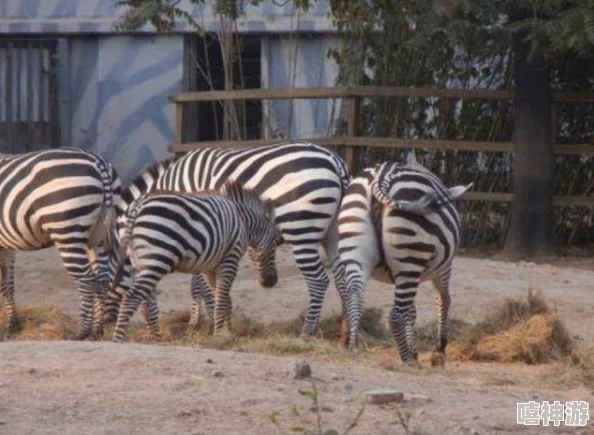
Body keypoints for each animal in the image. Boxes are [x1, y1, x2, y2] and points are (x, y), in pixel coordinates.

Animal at [0, 148, 120, 338]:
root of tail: (98, 162)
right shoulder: (6, 245)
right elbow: (7, 284)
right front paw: (11, 326)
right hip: (98, 237)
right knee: (101, 279)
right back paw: (97, 331)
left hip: (66, 230)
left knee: (86, 280)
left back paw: (81, 332)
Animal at [106, 182, 278, 342]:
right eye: (276, 243)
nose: (272, 281)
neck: (242, 221)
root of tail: (137, 205)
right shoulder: (230, 259)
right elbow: (222, 299)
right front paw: (220, 335)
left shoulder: (210, 267)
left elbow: (223, 299)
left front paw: (227, 332)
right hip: (158, 259)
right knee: (132, 297)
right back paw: (118, 339)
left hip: (139, 262)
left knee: (146, 302)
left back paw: (155, 338)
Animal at [120, 141, 350, 338]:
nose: (151, 333)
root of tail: (335, 161)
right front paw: (213, 321)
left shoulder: (198, 234)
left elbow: (198, 283)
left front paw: (204, 321)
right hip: (333, 232)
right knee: (342, 278)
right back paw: (345, 332)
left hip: (302, 229)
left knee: (318, 281)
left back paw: (306, 334)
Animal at [338, 155, 472, 366]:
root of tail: (382, 175)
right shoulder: (443, 269)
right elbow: (443, 300)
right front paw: (438, 350)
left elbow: (412, 311)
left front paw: (416, 350)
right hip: (410, 259)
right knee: (394, 315)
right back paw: (406, 359)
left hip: (356, 252)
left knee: (355, 300)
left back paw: (353, 349)